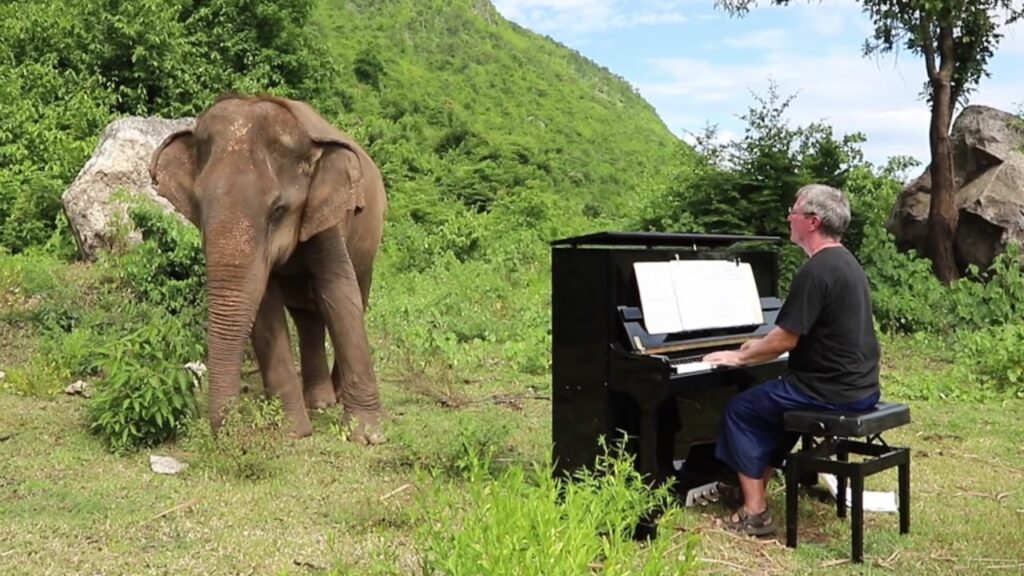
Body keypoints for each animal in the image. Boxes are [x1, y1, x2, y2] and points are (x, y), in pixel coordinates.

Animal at [150, 94, 387, 444]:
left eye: (278, 210)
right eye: (199, 204)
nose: (230, 433)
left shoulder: (327, 219)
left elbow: (340, 293)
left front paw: (366, 436)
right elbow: (266, 304)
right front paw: (294, 432)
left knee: (353, 293)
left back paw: (333, 399)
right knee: (306, 315)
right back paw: (318, 402)